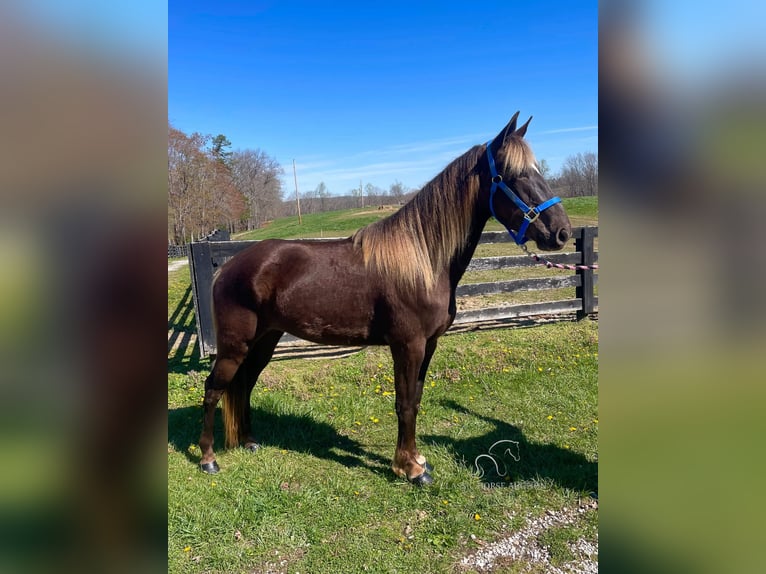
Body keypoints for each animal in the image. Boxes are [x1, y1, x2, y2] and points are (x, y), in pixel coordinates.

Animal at [198, 111, 568, 486]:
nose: (560, 233)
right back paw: (208, 459)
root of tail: (227, 266)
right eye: (511, 175)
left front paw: (415, 459)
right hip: (235, 346)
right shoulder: (408, 345)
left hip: (264, 341)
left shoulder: (429, 344)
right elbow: (404, 403)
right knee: (213, 389)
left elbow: (415, 400)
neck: (423, 260)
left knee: (244, 384)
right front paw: (410, 469)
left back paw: (248, 441)